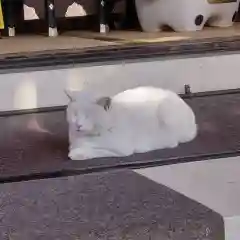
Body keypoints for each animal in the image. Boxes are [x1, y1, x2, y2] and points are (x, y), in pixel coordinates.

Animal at [65, 86, 197, 161]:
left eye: (88, 116)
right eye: (75, 114)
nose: (78, 124)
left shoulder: (120, 149)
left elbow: (96, 150)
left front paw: (77, 154)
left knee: (173, 142)